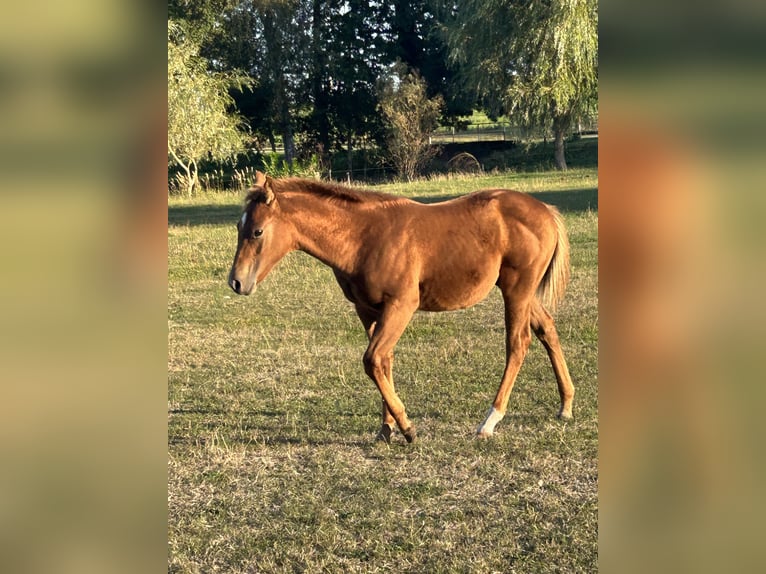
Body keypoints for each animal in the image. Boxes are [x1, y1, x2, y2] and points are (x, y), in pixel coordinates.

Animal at [228, 171, 575, 443]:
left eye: (257, 231)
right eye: (238, 227)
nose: (236, 282)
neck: (363, 238)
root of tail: (545, 211)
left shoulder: (402, 305)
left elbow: (372, 359)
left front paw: (407, 428)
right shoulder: (368, 310)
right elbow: (384, 361)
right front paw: (386, 428)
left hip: (517, 291)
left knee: (518, 343)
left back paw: (490, 420)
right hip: (520, 292)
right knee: (547, 329)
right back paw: (566, 404)